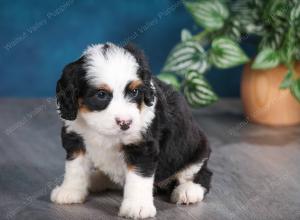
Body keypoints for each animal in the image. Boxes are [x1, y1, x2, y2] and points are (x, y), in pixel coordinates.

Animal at [50, 42, 212, 219]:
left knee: (200, 175)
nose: (125, 123)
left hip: (197, 150)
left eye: (134, 91)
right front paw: (70, 191)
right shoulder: (76, 138)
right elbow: (75, 167)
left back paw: (188, 191)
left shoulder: (141, 145)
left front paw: (138, 206)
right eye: (101, 94)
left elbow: (138, 177)